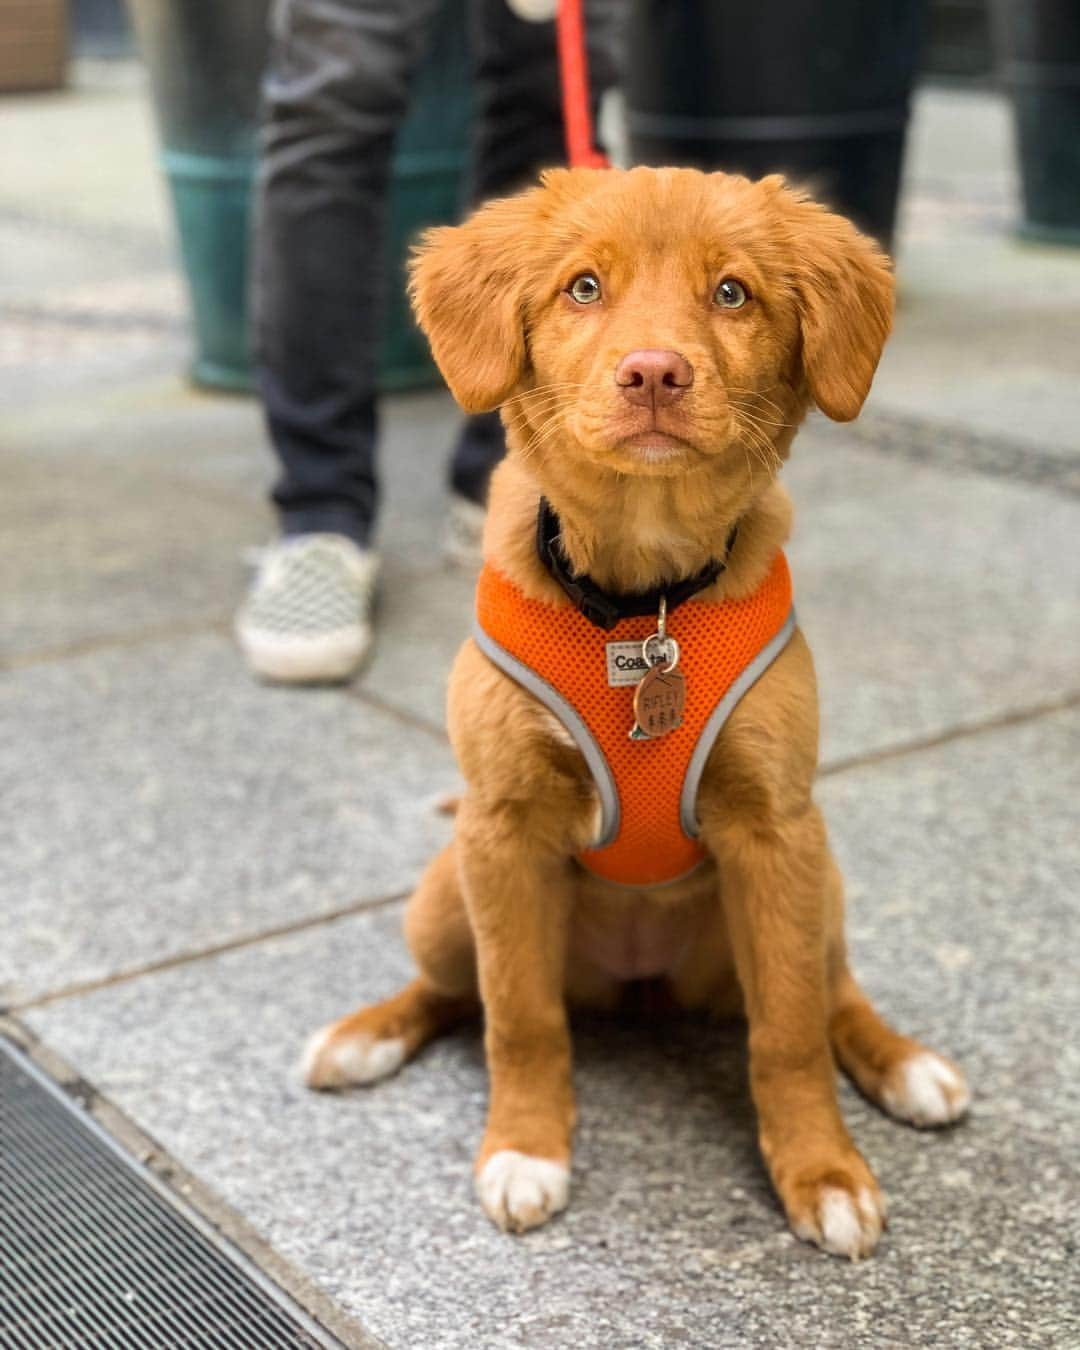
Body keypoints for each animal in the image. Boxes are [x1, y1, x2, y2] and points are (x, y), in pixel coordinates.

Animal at [299, 166, 966, 1252]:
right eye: (582, 288)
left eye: (732, 293)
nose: (654, 373)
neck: (643, 600)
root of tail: (640, 980)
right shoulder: (503, 830)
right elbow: (519, 1014)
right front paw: (525, 1149)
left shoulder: (777, 832)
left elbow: (788, 1033)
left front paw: (823, 1172)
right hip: (446, 895)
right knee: (454, 993)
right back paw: (364, 1038)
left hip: (818, 883)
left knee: (832, 992)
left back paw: (903, 1063)